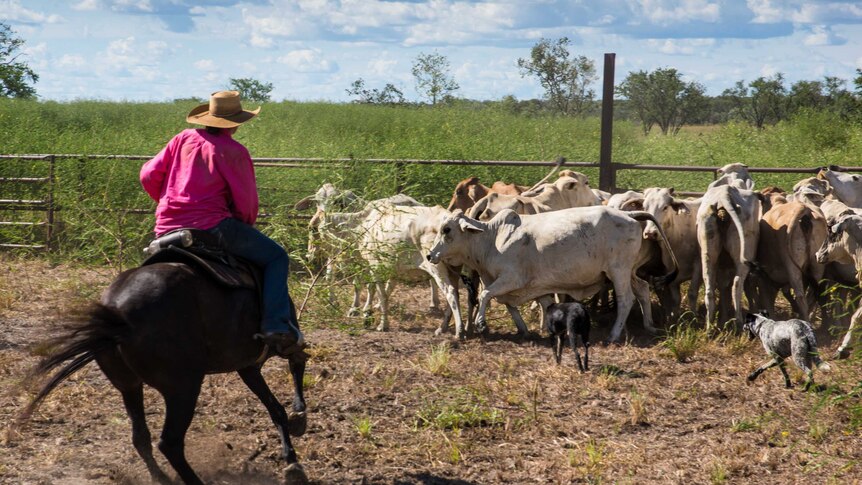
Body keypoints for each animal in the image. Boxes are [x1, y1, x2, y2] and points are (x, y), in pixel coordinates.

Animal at [19, 260, 310, 484]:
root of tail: (118, 316)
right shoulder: (269, 349)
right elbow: (296, 365)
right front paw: (298, 423)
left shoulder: (247, 365)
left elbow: (276, 406)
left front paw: (293, 446)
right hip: (183, 388)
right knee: (169, 442)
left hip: (129, 386)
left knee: (140, 437)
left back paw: (161, 477)